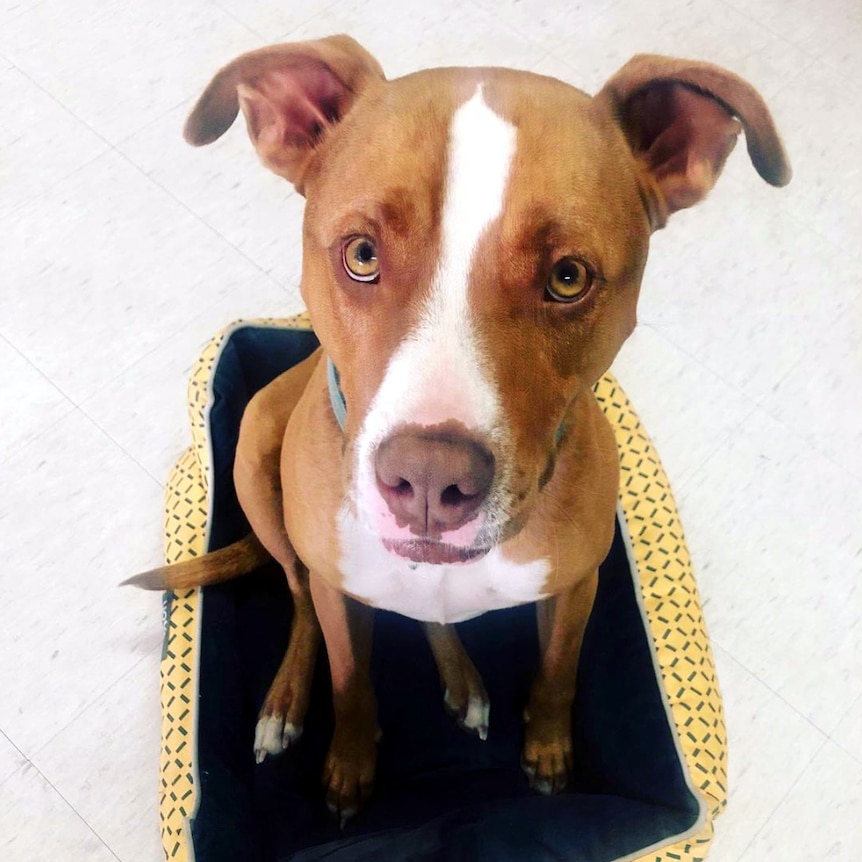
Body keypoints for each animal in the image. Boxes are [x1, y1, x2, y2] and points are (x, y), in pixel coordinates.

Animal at [126, 37, 788, 828]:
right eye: (361, 254)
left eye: (569, 277)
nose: (429, 480)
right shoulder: (340, 592)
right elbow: (351, 682)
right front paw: (348, 767)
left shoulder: (578, 584)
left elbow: (558, 673)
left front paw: (549, 754)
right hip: (255, 451)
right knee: (299, 595)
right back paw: (285, 702)